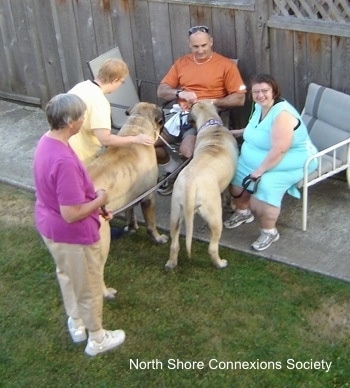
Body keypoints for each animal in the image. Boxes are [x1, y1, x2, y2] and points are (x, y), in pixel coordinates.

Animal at [87, 101, 170, 298]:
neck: (136, 126)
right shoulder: (148, 196)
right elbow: (151, 223)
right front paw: (158, 238)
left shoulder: (130, 195)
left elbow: (129, 211)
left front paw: (131, 227)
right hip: (101, 243)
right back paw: (107, 293)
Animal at [165, 100, 238, 270]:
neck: (212, 124)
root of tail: (190, 186)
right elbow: (229, 194)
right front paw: (231, 205)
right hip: (214, 216)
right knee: (212, 247)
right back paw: (220, 263)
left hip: (176, 213)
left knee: (174, 244)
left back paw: (171, 264)